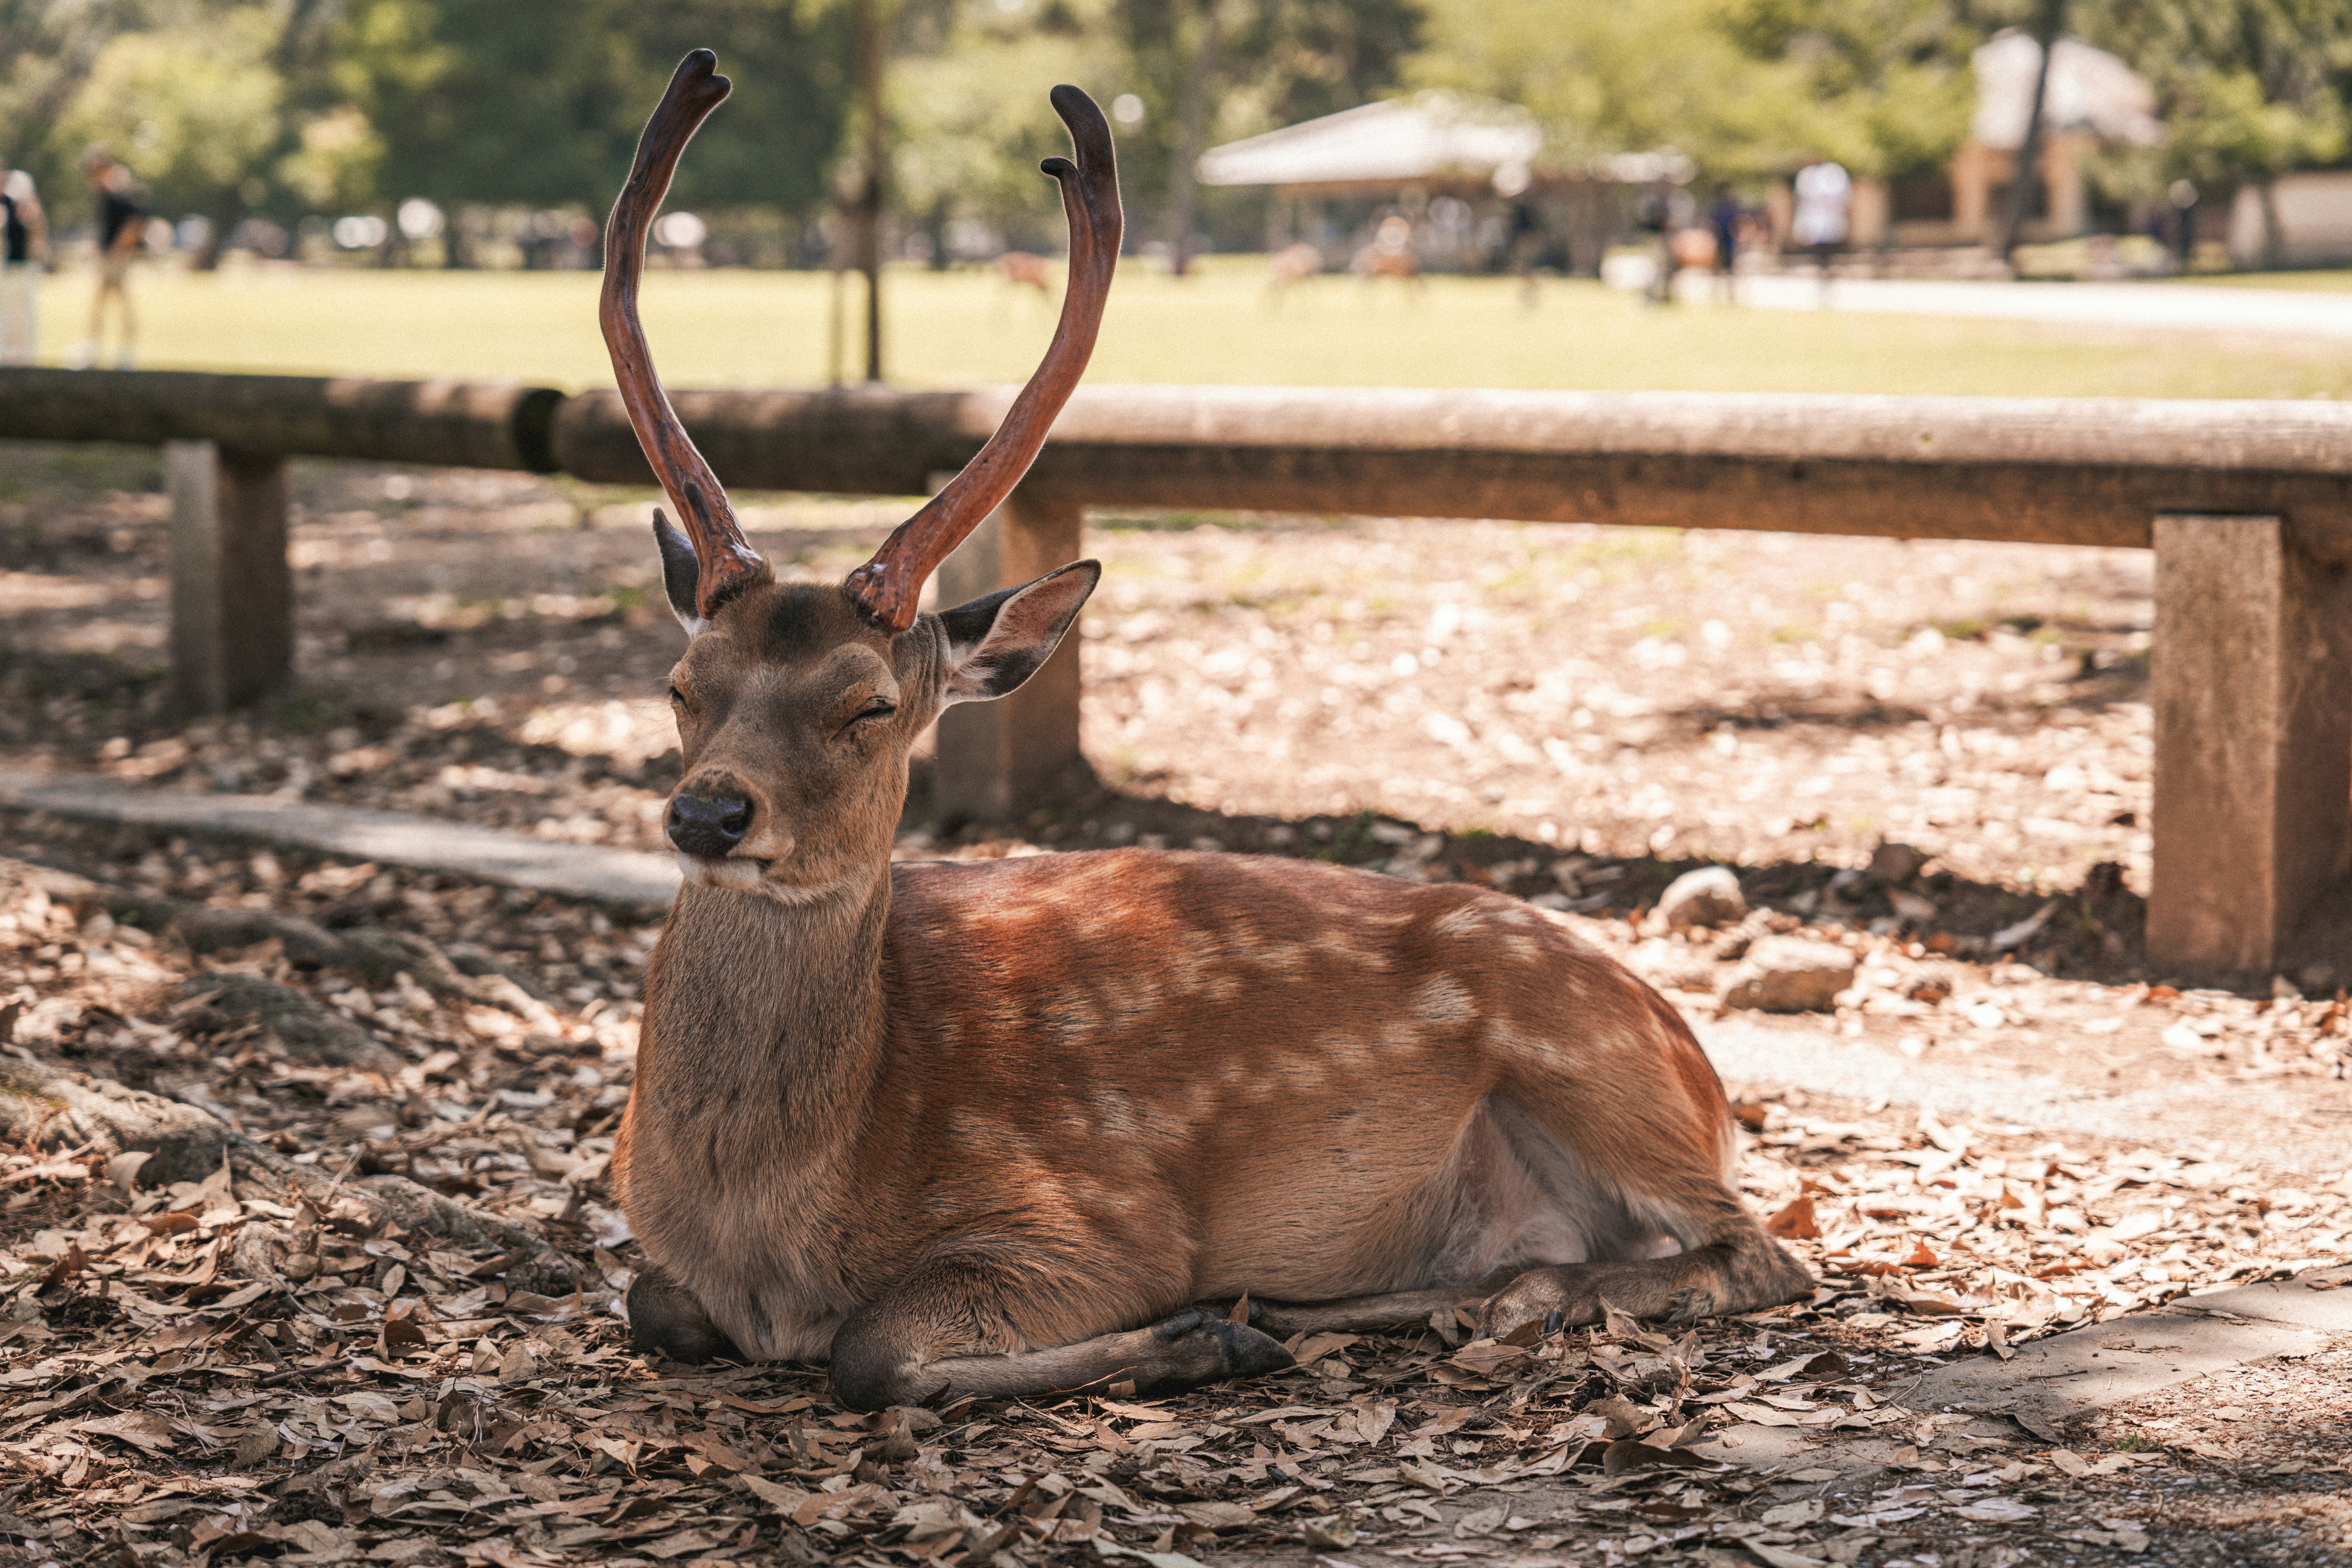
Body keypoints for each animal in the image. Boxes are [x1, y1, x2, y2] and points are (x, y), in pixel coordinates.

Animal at [605, 50, 1814, 1412]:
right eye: (681, 682)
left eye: (870, 703)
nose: (708, 811)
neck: (769, 1236)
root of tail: (1699, 1063)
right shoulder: (656, 1248)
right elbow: (654, 1302)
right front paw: (1220, 1329)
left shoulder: (1094, 1216)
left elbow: (871, 1351)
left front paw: (1188, 1333)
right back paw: (1374, 1300)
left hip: (1589, 1057)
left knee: (1764, 1252)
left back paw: (1472, 1301)